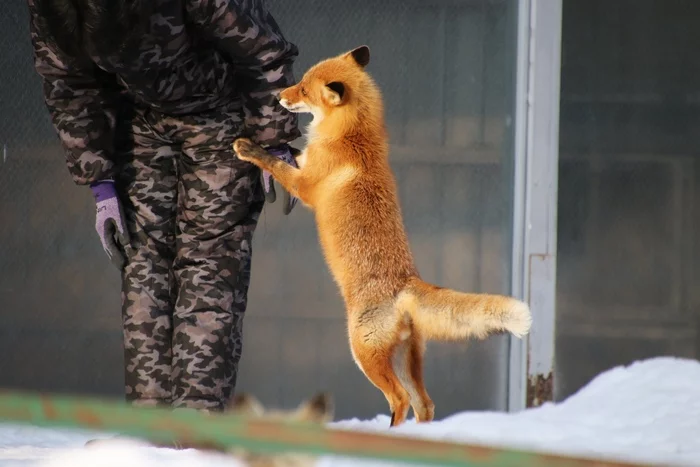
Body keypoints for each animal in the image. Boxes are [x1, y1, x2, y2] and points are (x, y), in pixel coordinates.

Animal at [232, 45, 532, 427]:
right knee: (425, 403)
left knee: (400, 399)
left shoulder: (306, 186)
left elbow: (278, 165)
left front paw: (250, 148)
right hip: (404, 358)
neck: (354, 137)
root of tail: (407, 282)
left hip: (364, 353)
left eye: (302, 89)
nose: (278, 95)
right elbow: (293, 155)